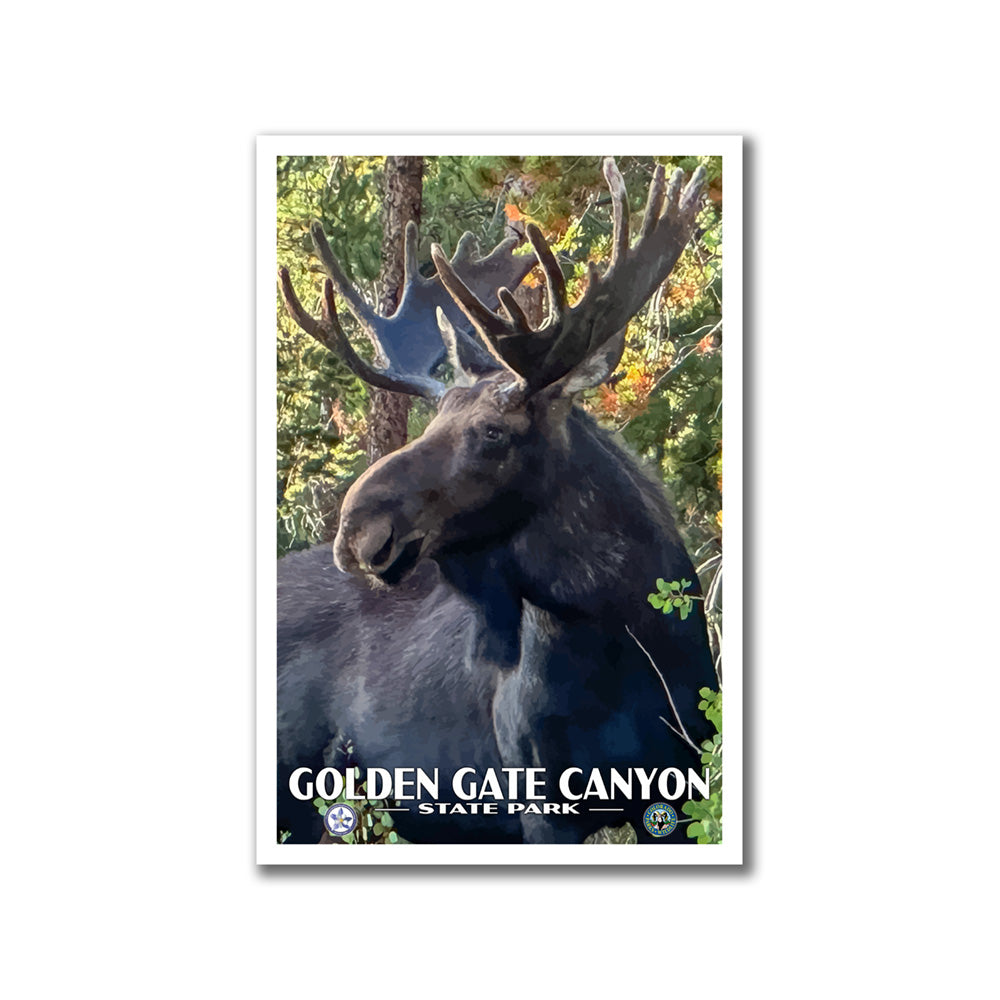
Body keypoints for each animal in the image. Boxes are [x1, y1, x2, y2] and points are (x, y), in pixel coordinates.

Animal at [277, 158, 718, 845]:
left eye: (492, 431)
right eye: (432, 422)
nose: (357, 530)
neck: (616, 628)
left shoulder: (677, 782)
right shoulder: (539, 803)